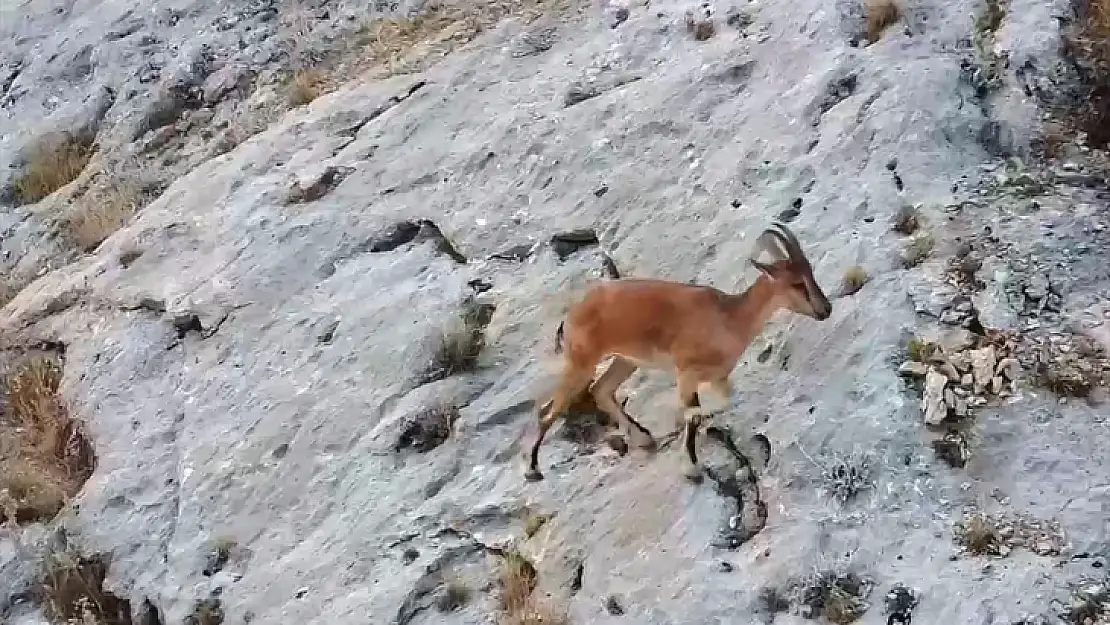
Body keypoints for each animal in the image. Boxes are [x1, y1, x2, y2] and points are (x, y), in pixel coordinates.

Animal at [528, 222, 834, 481]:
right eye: (796, 283)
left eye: (810, 272)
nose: (826, 309)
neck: (728, 318)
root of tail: (569, 318)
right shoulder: (686, 373)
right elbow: (693, 413)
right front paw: (692, 467)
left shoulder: (718, 378)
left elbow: (718, 404)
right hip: (582, 363)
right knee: (549, 409)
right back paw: (533, 469)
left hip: (625, 361)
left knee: (600, 390)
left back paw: (642, 438)